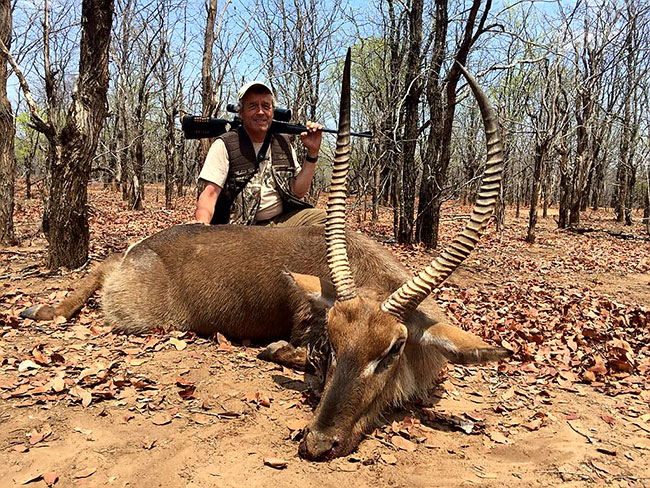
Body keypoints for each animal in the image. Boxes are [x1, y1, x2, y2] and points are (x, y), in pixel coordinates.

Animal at [21, 49, 509, 461]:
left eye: (392, 348)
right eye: (334, 342)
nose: (318, 443)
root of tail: (140, 252)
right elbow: (290, 352)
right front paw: (280, 352)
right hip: (140, 316)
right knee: (101, 270)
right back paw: (44, 310)